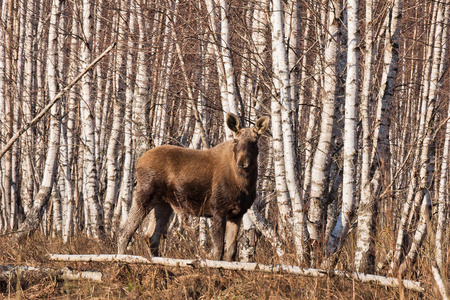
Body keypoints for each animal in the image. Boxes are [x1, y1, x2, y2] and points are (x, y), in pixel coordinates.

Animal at [118, 112, 268, 260]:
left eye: (255, 141)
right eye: (235, 140)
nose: (242, 163)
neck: (244, 185)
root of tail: (139, 162)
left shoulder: (237, 214)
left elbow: (231, 251)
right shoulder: (218, 209)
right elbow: (218, 251)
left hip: (164, 203)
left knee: (151, 237)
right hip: (145, 195)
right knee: (125, 231)